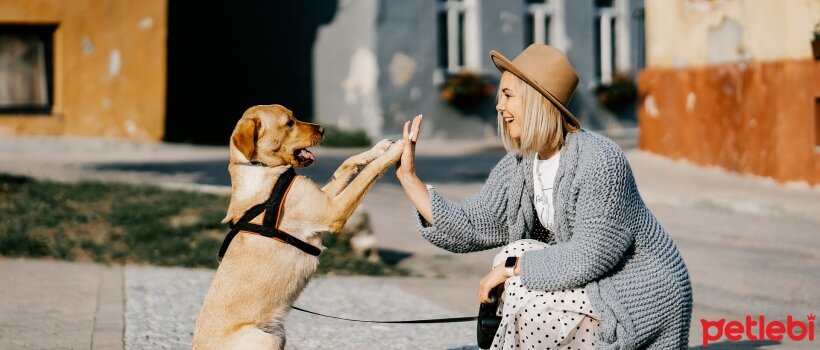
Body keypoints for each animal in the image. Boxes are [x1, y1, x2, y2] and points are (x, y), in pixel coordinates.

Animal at [196, 105, 406, 348]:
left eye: (294, 115)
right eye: (289, 123)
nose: (323, 129)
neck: (261, 169)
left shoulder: (325, 198)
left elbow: (347, 163)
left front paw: (379, 148)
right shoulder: (333, 210)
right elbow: (369, 172)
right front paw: (399, 149)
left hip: (279, 335)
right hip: (266, 339)